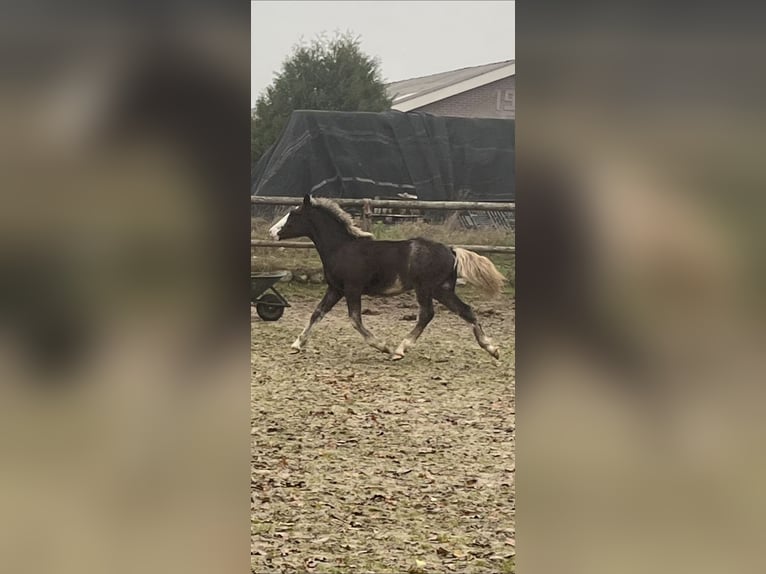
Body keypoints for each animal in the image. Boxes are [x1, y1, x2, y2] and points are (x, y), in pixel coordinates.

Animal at [268, 195, 506, 360]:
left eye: (294, 215)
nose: (271, 232)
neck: (342, 248)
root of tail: (451, 250)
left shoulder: (352, 288)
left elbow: (355, 319)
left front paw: (384, 347)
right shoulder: (335, 289)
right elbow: (317, 313)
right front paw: (297, 344)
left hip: (425, 289)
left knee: (427, 314)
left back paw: (400, 350)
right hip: (443, 289)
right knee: (465, 310)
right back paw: (491, 348)